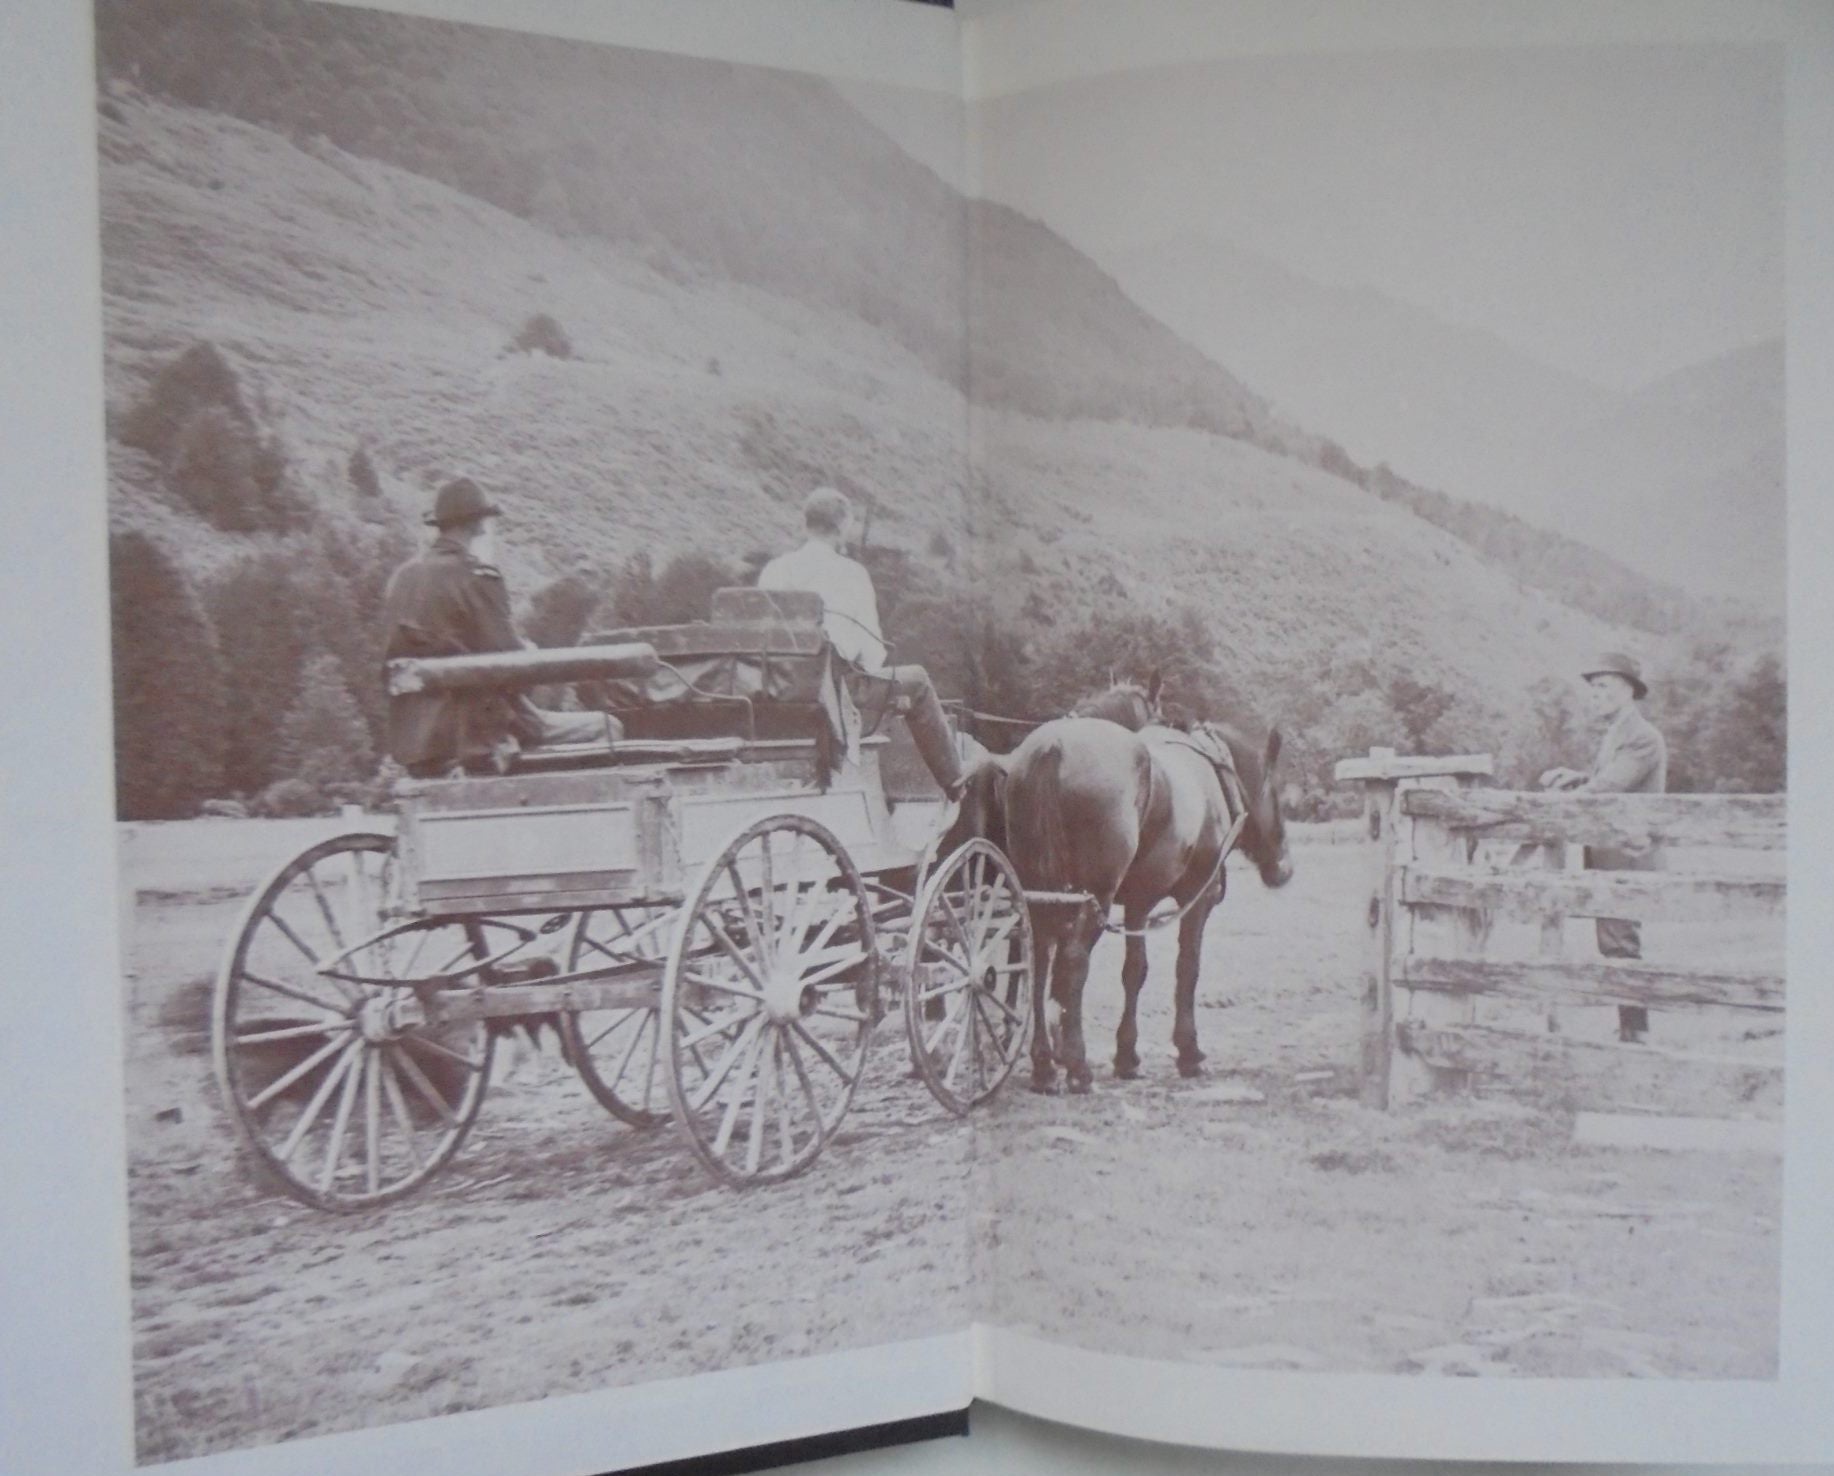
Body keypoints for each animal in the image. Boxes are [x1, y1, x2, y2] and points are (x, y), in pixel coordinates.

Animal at [953, 696, 1298, 1085]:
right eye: (1278, 795)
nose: (1284, 868)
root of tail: (1053, 747)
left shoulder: (1138, 903)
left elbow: (1134, 971)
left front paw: (1126, 1054)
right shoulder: (1197, 898)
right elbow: (1187, 968)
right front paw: (1188, 1051)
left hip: (1039, 893)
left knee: (1038, 962)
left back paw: (1044, 1063)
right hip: (1093, 898)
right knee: (1073, 962)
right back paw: (1077, 1065)